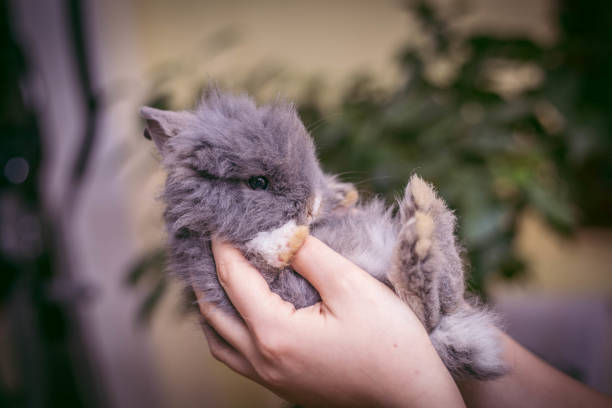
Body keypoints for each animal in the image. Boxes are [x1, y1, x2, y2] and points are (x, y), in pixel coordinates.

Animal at [140, 87, 506, 380]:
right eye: (258, 182)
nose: (312, 205)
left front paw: (341, 193)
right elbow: (264, 252)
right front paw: (289, 240)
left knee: (440, 298)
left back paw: (423, 208)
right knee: (427, 309)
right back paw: (419, 231)